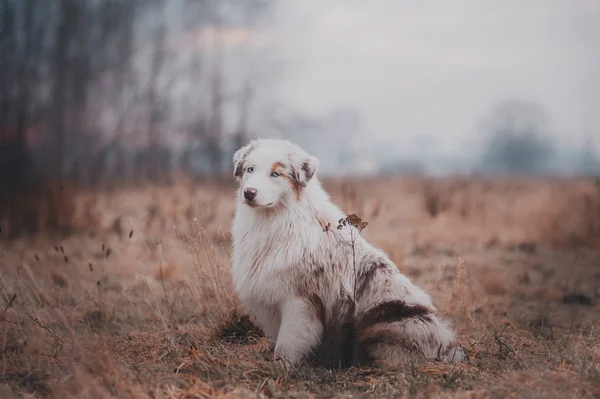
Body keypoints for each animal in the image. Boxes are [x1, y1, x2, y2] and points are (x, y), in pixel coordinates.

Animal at [230, 138, 464, 368]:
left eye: (275, 174)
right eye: (250, 169)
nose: (249, 192)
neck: (276, 220)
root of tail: (445, 345)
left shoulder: (298, 300)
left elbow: (287, 345)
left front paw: (280, 369)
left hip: (391, 320)